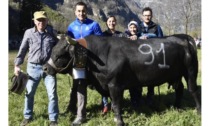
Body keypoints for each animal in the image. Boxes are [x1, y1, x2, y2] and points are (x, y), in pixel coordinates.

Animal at [42, 34, 200, 125]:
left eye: (59, 55)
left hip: (191, 72)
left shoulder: (115, 85)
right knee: (179, 89)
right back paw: (177, 106)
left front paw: (119, 120)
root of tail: (184, 38)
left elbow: (117, 103)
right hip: (176, 75)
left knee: (193, 90)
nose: (45, 68)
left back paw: (198, 111)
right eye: (52, 50)